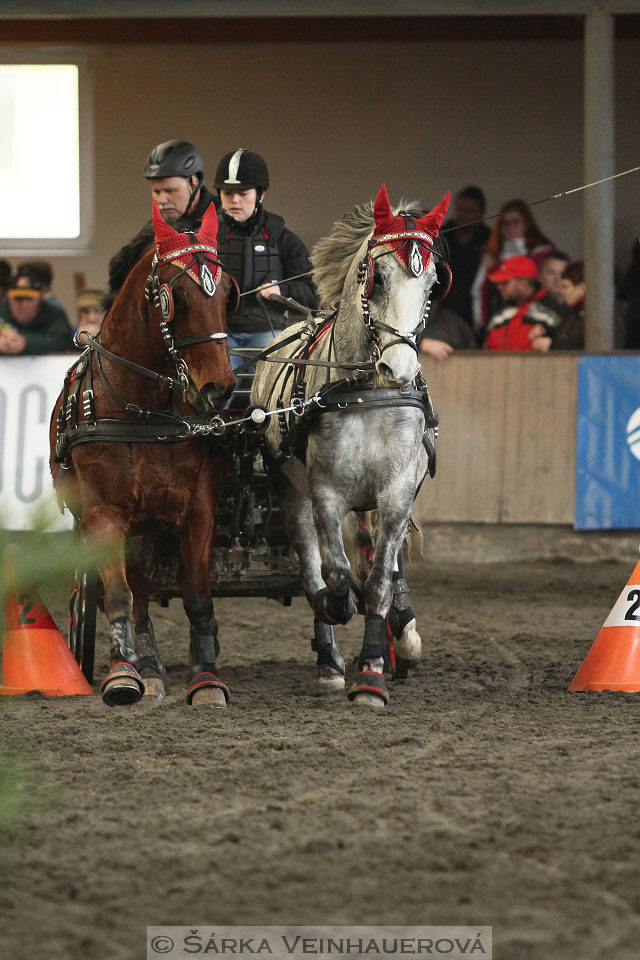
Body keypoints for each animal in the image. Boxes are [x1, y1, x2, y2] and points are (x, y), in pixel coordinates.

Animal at [49, 202, 235, 708]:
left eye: (227, 293)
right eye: (178, 298)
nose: (219, 389)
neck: (144, 410)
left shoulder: (200, 510)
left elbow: (198, 598)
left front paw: (207, 680)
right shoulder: (104, 516)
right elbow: (118, 596)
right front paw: (122, 675)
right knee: (137, 595)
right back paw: (146, 669)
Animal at [250, 184, 450, 704]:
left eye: (432, 284)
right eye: (375, 277)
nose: (398, 368)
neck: (365, 392)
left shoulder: (397, 493)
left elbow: (380, 579)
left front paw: (375, 668)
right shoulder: (324, 493)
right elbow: (335, 576)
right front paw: (339, 612)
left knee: (378, 557)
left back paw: (400, 635)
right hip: (291, 491)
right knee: (311, 567)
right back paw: (328, 657)